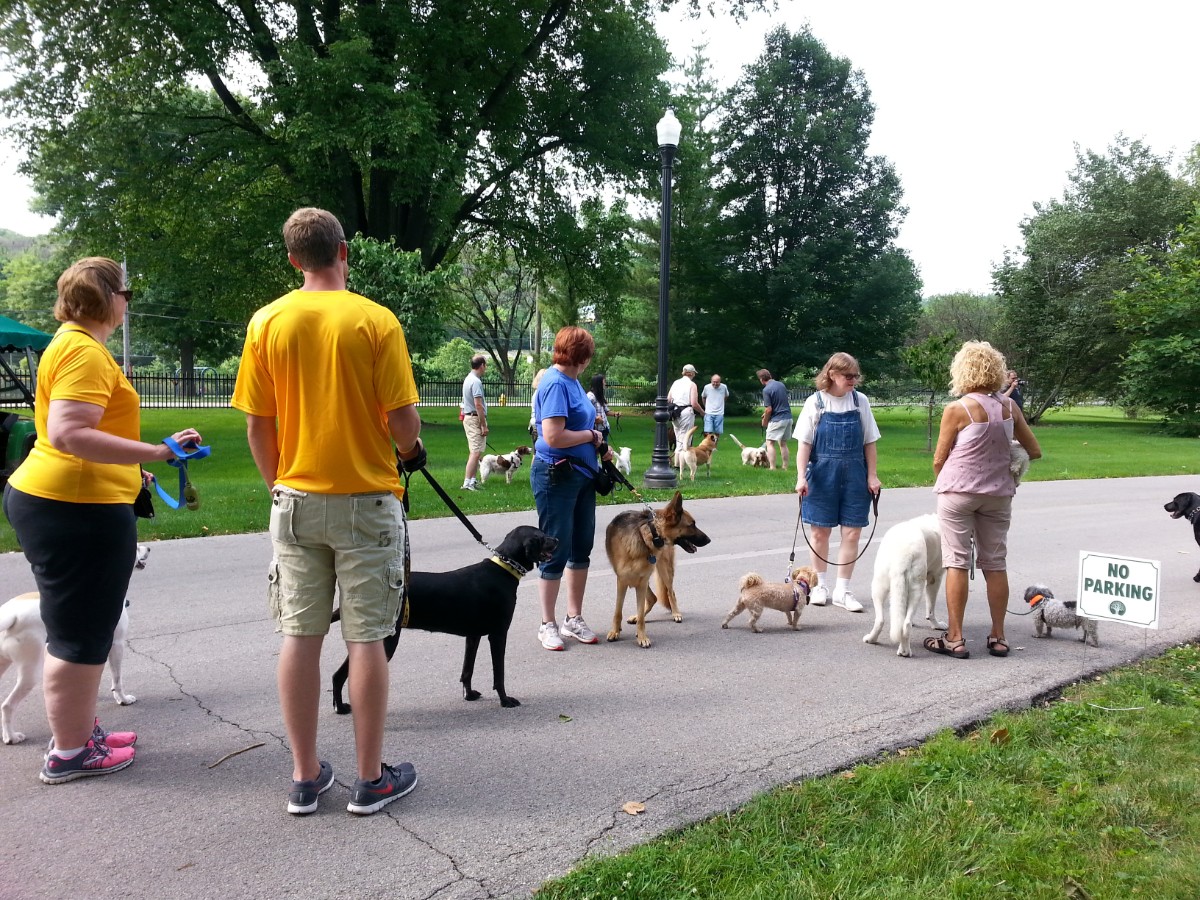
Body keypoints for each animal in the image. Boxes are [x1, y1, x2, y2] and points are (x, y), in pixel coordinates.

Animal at [1, 544, 148, 745]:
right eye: (136, 547)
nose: (148, 548)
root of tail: (12, 616)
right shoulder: (116, 646)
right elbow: (117, 680)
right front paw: (123, 699)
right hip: (30, 672)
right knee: (7, 705)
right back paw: (11, 737)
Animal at [331, 526, 557, 711]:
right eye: (541, 536)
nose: (557, 539)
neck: (503, 569)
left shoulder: (473, 636)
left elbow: (467, 669)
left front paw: (469, 695)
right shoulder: (498, 634)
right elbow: (498, 673)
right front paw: (505, 700)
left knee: (337, 675)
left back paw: (340, 706)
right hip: (386, 642)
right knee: (341, 674)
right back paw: (342, 707)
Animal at [605, 492, 711, 648]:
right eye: (692, 524)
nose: (709, 540)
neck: (648, 535)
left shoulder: (641, 581)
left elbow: (641, 616)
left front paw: (642, 636)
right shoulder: (622, 581)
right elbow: (618, 611)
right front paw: (615, 632)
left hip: (664, 571)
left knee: (670, 592)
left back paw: (676, 613)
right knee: (653, 598)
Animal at [863, 514, 947, 657]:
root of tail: (905, 552)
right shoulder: (935, 579)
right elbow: (930, 610)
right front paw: (937, 625)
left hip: (881, 586)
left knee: (887, 620)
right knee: (902, 622)